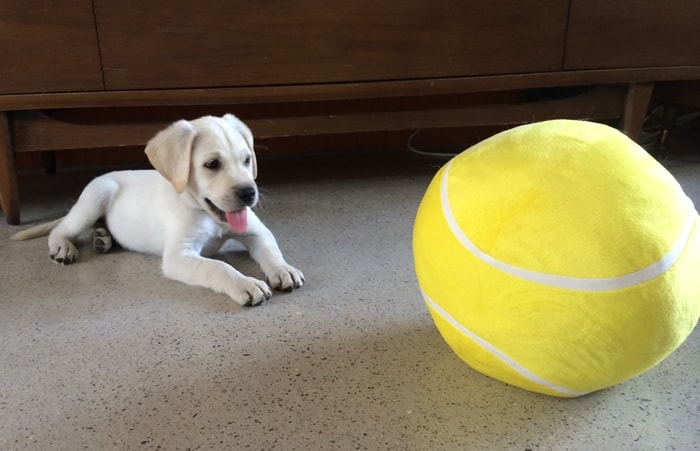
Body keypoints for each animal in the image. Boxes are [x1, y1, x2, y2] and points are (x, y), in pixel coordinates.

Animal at [11, 115, 304, 308]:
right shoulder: (178, 256)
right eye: (212, 164)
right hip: (96, 195)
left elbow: (270, 250)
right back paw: (64, 246)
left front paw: (283, 269)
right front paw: (245, 283)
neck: (205, 213)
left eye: (246, 159)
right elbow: (218, 267)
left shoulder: (256, 232)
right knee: (63, 229)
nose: (248, 193)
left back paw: (103, 238)